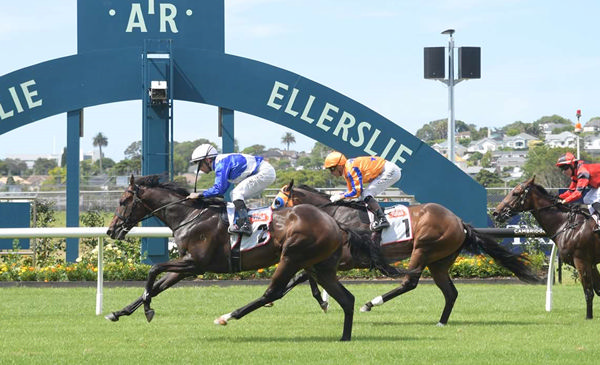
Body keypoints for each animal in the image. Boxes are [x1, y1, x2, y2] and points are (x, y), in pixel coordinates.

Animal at [104, 173, 390, 338]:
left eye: (122, 202)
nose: (111, 230)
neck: (189, 216)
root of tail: (335, 223)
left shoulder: (195, 263)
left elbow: (153, 271)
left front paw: (148, 310)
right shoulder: (186, 265)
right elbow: (157, 284)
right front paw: (118, 312)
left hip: (292, 257)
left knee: (272, 293)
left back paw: (228, 316)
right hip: (320, 266)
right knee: (347, 299)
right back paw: (344, 337)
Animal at [272, 179, 540, 324]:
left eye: (276, 201)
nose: (271, 221)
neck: (336, 214)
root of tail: (459, 222)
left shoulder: (349, 259)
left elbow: (304, 274)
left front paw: (315, 299)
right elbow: (307, 273)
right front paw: (319, 299)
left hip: (423, 248)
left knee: (409, 283)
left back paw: (371, 303)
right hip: (439, 260)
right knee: (450, 292)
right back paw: (441, 322)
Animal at [492, 176, 600, 318]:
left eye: (515, 193)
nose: (496, 212)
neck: (568, 225)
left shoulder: (581, 261)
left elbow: (589, 291)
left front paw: (588, 317)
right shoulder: (591, 263)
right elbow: (598, 289)